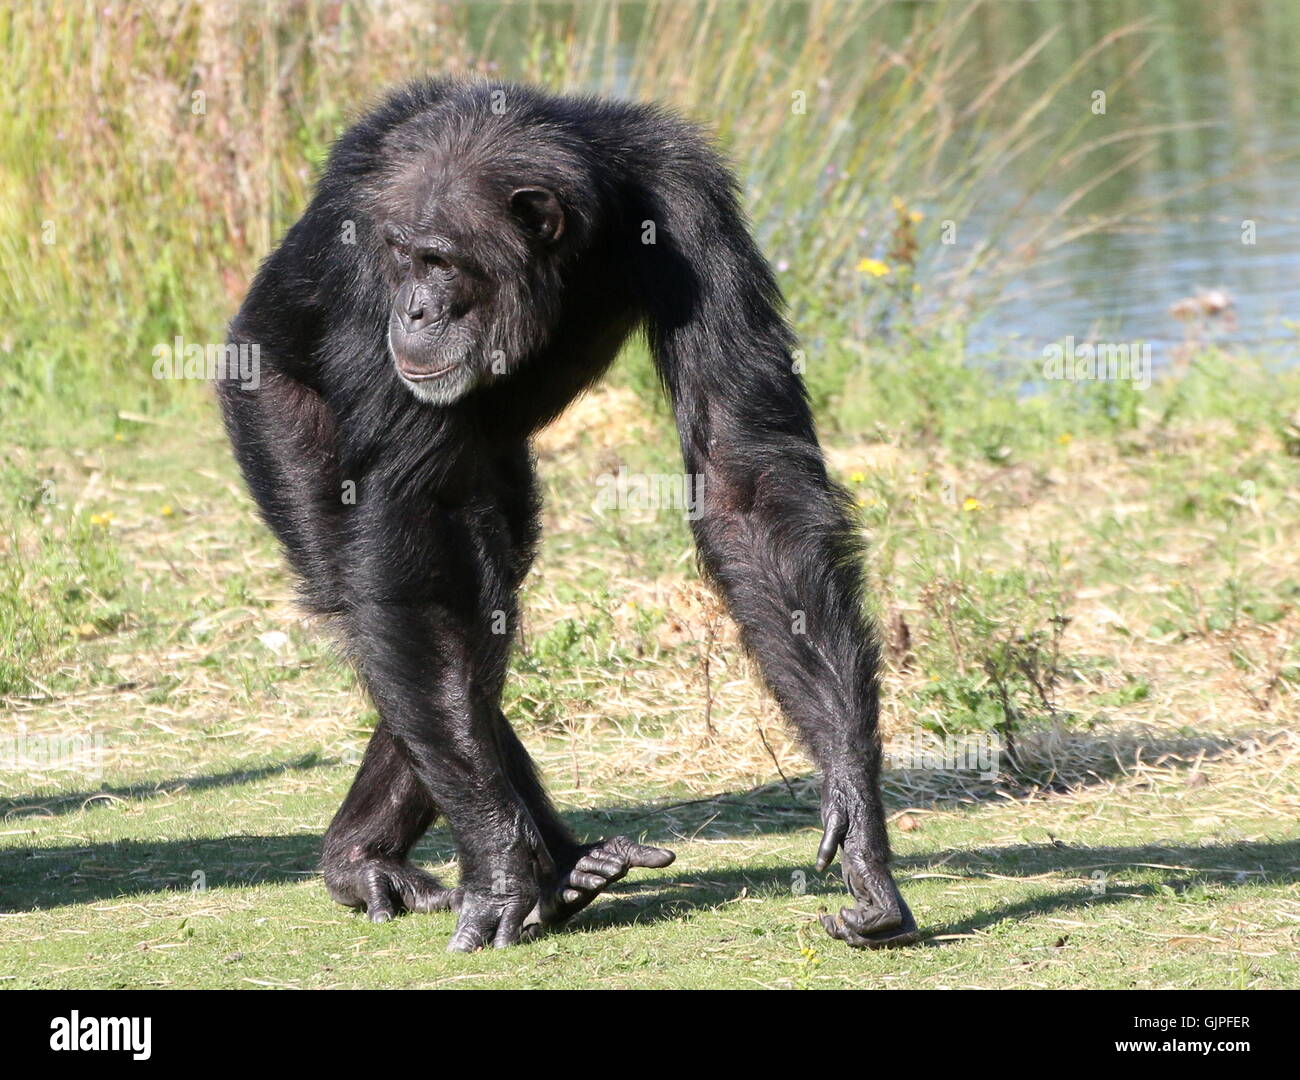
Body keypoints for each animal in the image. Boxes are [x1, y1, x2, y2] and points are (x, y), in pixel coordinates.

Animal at [220, 80, 915, 951]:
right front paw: (498, 864)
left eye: (440, 262)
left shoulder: (693, 207)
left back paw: (529, 865)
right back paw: (397, 860)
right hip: (265, 399)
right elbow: (417, 517)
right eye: (403, 257)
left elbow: (745, 478)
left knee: (480, 590)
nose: (413, 311)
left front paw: (857, 812)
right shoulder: (361, 258)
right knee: (386, 589)